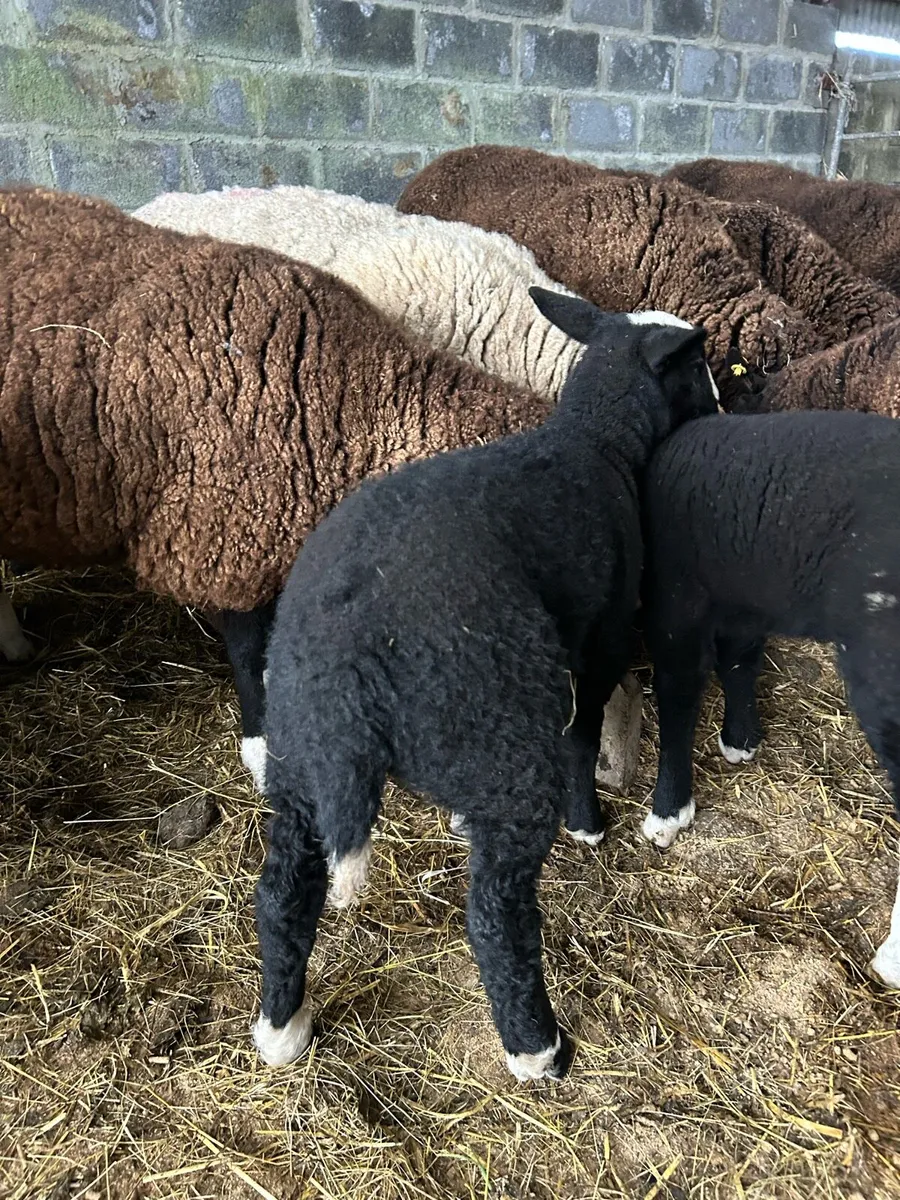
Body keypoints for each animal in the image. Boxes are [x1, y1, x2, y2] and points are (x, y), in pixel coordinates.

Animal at [252, 287, 720, 1079]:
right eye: (698, 367)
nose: (723, 411)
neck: (593, 441)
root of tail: (349, 673)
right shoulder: (595, 638)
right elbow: (584, 730)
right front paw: (589, 821)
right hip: (499, 732)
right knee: (495, 912)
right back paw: (537, 1047)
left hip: (297, 757)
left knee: (284, 889)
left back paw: (282, 1028)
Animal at [637, 409, 900, 989]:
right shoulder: (743, 590)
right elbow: (739, 657)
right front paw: (740, 737)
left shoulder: (679, 593)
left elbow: (679, 693)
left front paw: (669, 809)